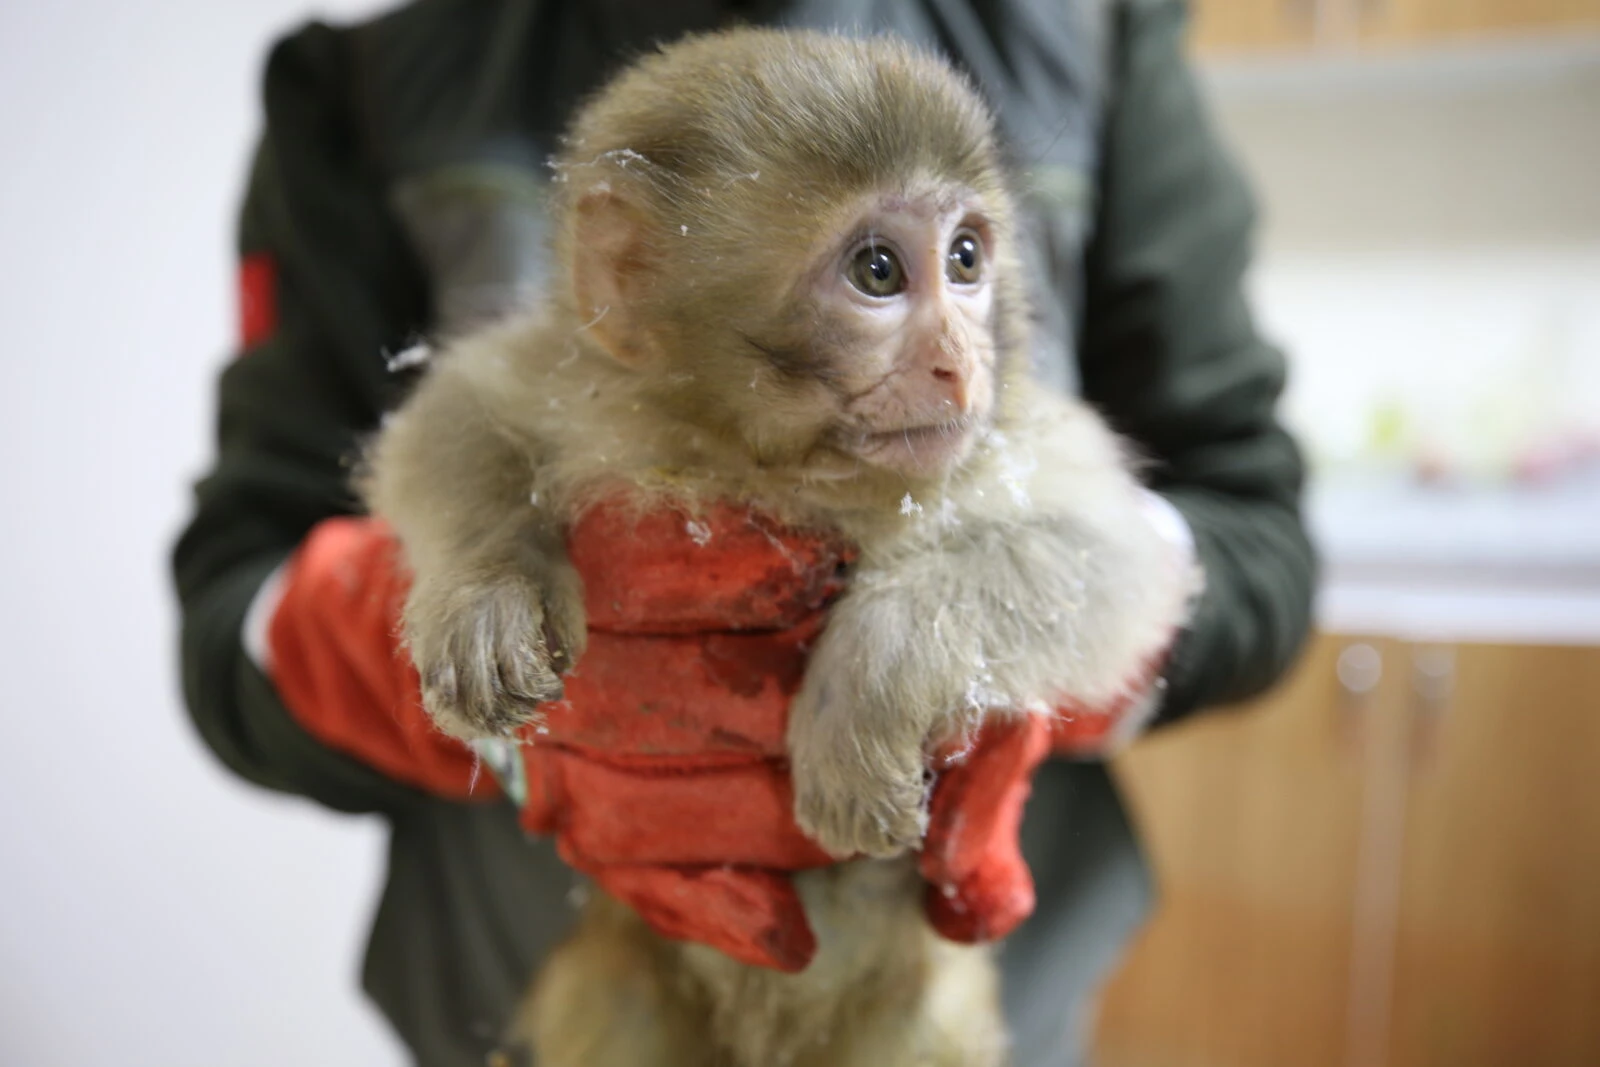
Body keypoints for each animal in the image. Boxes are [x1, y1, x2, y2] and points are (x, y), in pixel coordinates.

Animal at [356, 24, 1196, 1067]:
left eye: (965, 257)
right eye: (878, 271)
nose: (962, 363)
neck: (769, 463)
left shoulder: (1001, 439)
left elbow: (1112, 553)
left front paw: (866, 681)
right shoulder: (582, 383)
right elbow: (456, 414)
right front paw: (487, 589)